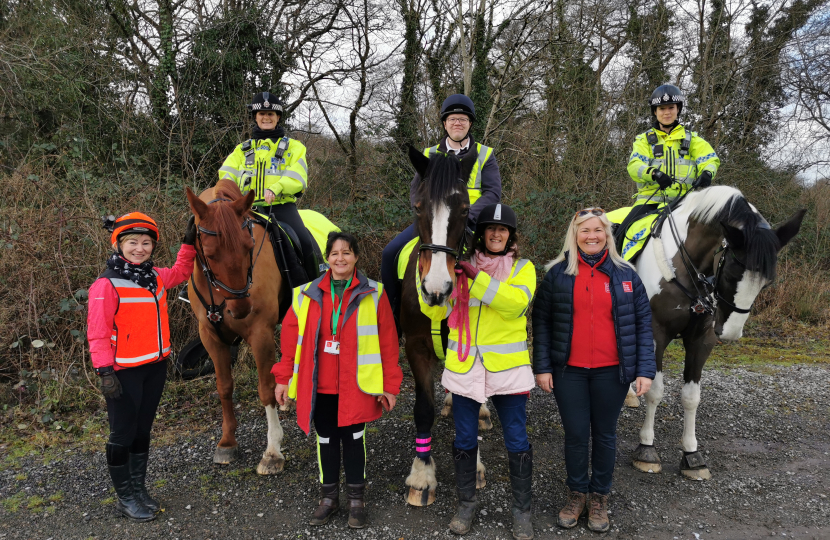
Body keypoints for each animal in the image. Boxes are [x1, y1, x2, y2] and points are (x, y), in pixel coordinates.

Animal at [185, 180, 290, 472]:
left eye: (249, 245)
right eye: (209, 254)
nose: (241, 309)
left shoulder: (261, 333)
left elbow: (265, 389)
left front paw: (272, 451)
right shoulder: (210, 337)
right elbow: (224, 386)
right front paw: (227, 443)